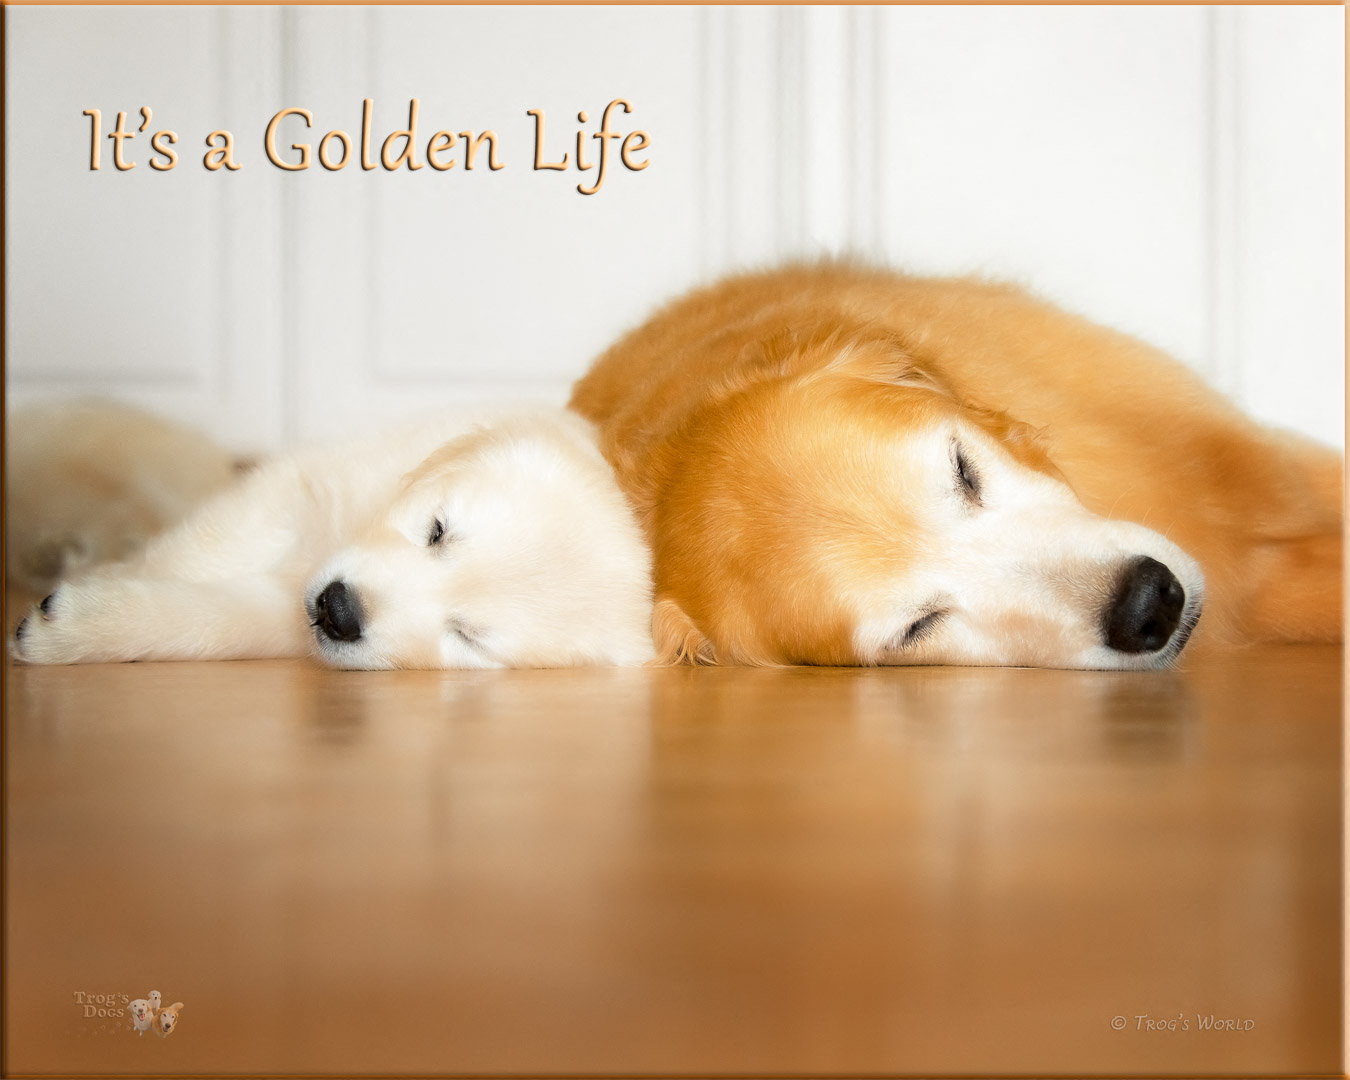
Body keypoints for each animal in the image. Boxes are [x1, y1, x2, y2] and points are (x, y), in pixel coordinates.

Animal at [9, 410, 653, 669]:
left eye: (466, 637)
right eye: (437, 530)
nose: (339, 610)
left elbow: (221, 621)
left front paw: (73, 628)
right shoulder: (299, 487)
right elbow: (204, 547)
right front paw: (112, 584)